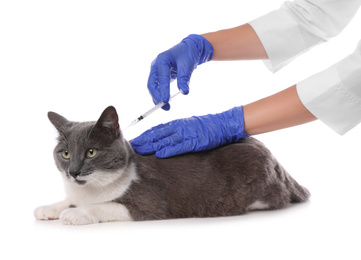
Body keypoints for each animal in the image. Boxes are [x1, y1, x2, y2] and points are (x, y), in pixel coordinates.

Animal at [34, 106, 310, 224]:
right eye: (66, 154)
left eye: (91, 152)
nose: (73, 172)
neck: (88, 189)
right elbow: (69, 200)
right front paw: (49, 208)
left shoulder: (149, 203)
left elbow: (103, 206)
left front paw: (75, 213)